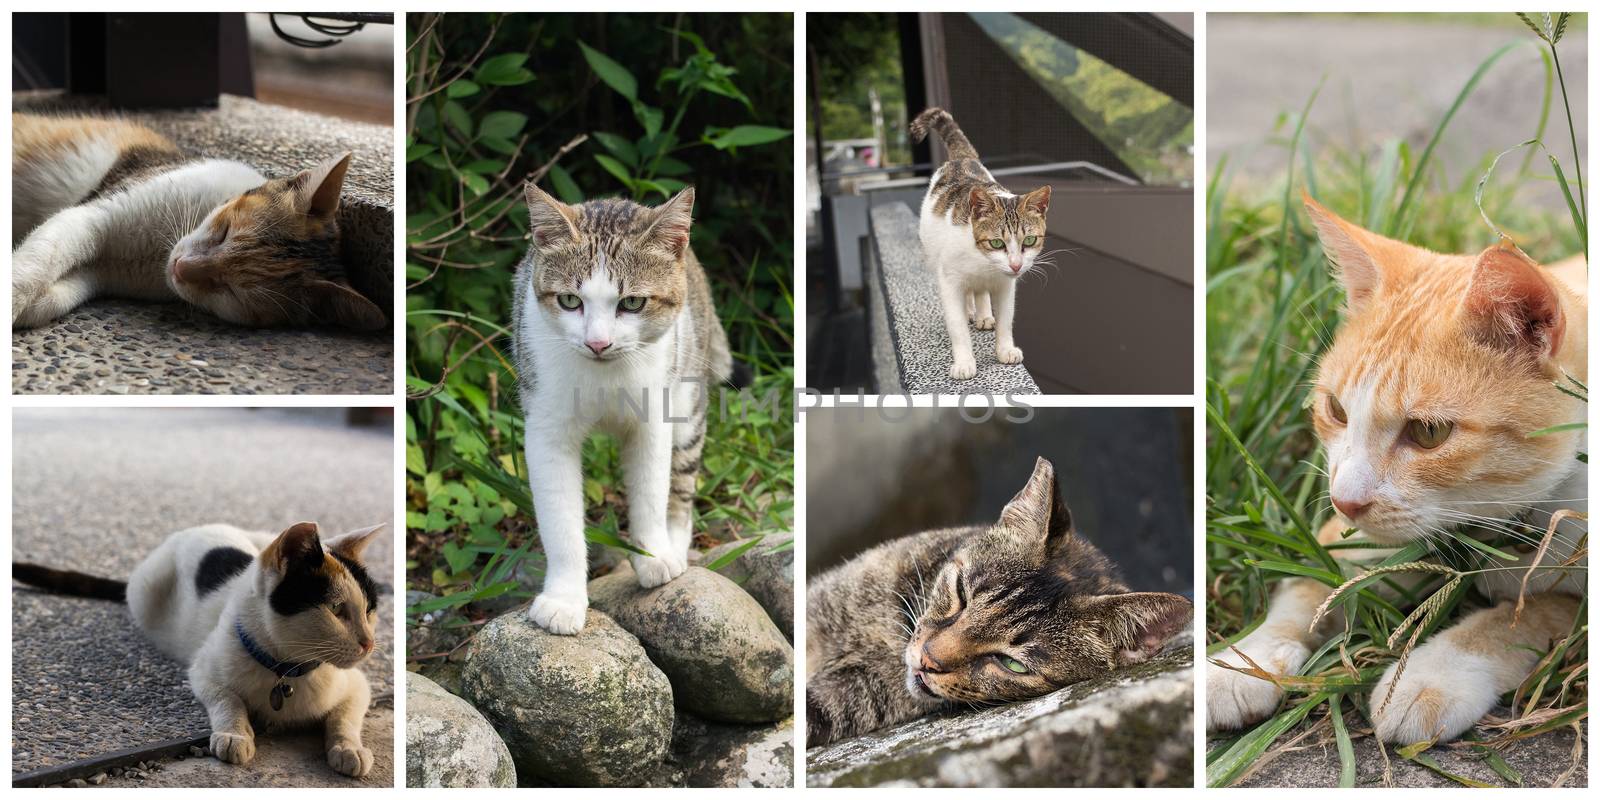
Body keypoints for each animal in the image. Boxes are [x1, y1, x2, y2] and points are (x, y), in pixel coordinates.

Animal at [11, 111, 387, 329]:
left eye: (231, 290)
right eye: (224, 232)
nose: (181, 268)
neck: (154, 252)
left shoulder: (102, 273)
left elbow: (54, 295)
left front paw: (30, 309)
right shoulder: (92, 216)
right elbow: (36, 266)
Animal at [12, 518, 384, 774]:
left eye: (369, 609)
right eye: (336, 610)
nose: (369, 644)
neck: (288, 669)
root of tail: (193, 529)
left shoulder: (357, 685)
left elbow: (345, 717)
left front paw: (349, 749)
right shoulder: (203, 670)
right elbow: (226, 699)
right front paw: (236, 735)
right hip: (145, 589)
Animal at [515, 184, 732, 633]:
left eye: (632, 303)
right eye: (569, 300)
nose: (598, 343)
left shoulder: (654, 417)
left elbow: (651, 490)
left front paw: (654, 556)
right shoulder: (545, 424)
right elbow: (559, 518)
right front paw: (564, 599)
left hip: (688, 393)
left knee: (682, 481)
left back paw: (675, 544)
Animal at [908, 107, 1056, 380]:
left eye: (1029, 240)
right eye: (997, 243)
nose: (1016, 265)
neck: (982, 262)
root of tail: (962, 158)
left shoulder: (1006, 285)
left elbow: (1006, 319)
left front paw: (1005, 349)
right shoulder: (950, 281)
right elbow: (957, 326)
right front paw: (964, 362)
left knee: (980, 292)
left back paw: (984, 315)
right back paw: (971, 311)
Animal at [1209, 198, 1587, 742]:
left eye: (1428, 433)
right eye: (1336, 410)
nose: (1345, 500)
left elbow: (1524, 618)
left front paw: (1430, 674)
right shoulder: (1346, 541)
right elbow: (1311, 587)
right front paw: (1246, 660)